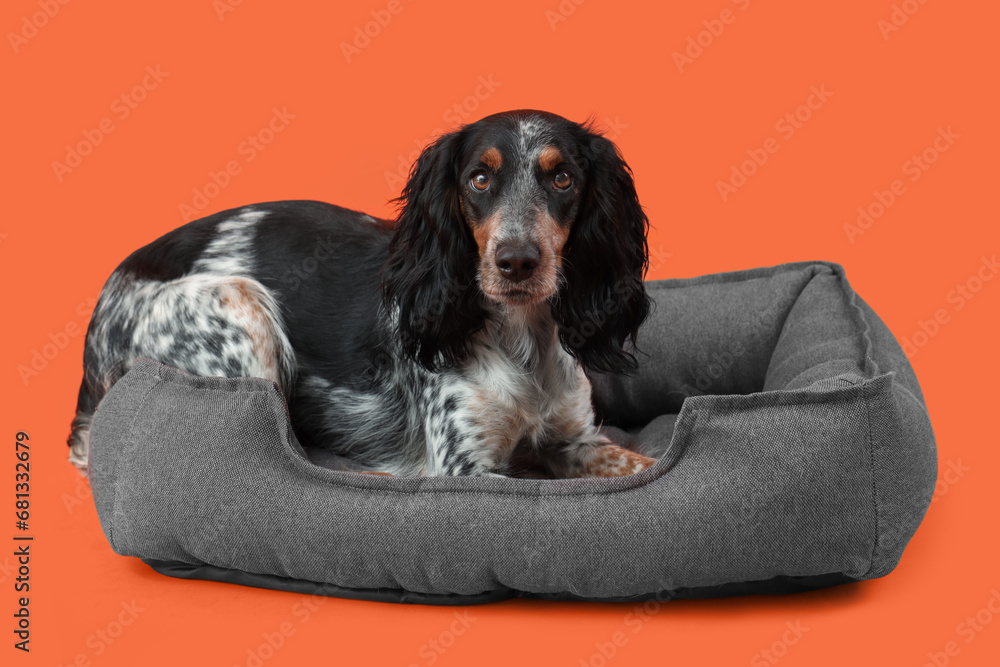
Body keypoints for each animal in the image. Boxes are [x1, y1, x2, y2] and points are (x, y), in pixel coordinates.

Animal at [68, 109, 656, 478]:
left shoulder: (577, 440)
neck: (522, 335)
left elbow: (645, 465)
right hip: (240, 308)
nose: (516, 262)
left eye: (562, 179)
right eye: (479, 179)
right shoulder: (464, 466)